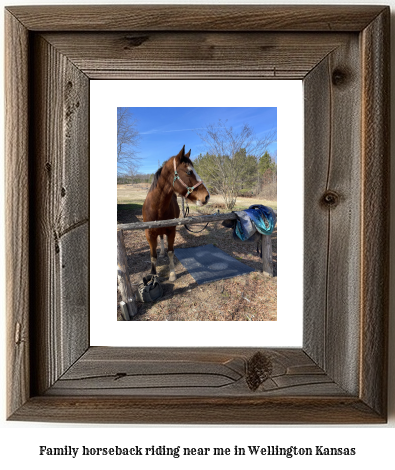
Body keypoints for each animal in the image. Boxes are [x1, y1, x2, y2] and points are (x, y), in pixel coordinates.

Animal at [142, 145, 210, 280]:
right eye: (189, 172)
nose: (207, 196)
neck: (156, 208)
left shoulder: (171, 231)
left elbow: (171, 252)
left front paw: (172, 273)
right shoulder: (149, 234)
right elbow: (153, 256)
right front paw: (153, 274)